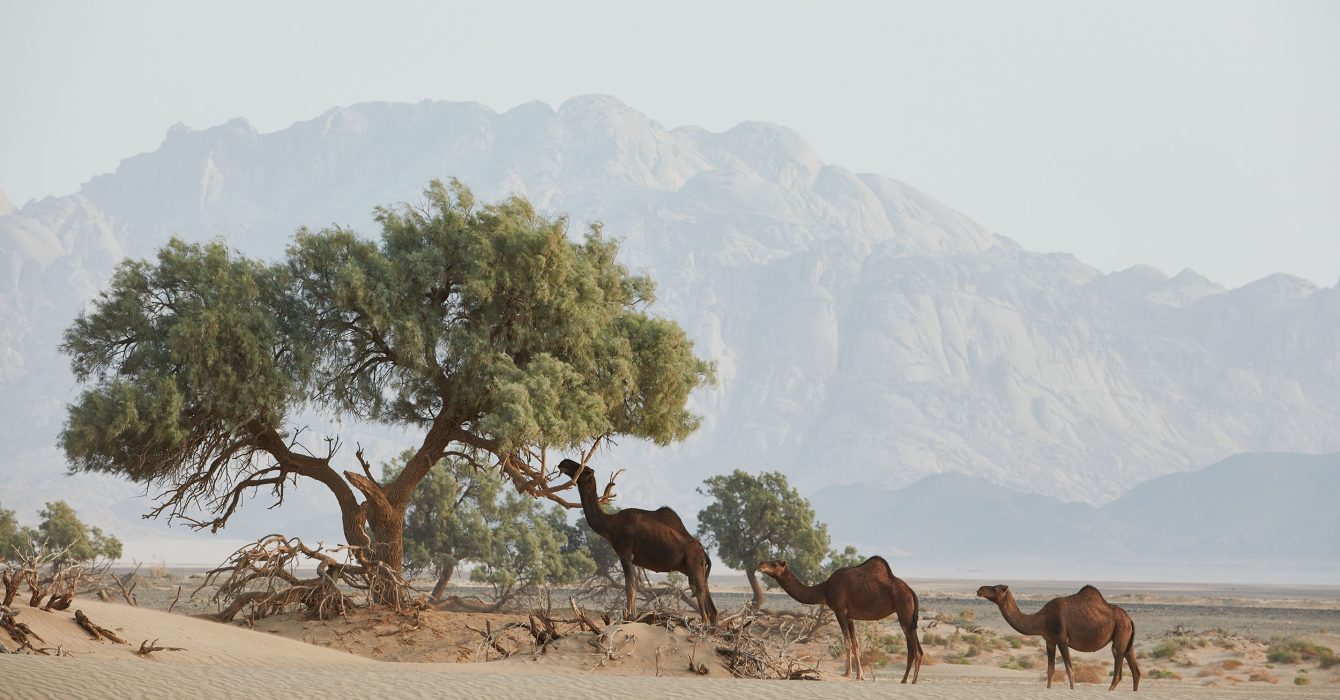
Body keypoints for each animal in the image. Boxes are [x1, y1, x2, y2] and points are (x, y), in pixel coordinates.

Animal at [554, 455, 718, 624]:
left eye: (583, 469)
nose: (563, 462)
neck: (611, 525)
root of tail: (704, 552)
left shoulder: (625, 553)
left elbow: (630, 588)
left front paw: (630, 617)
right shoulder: (630, 557)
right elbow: (632, 586)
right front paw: (631, 616)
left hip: (694, 563)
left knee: (700, 594)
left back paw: (703, 623)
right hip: (697, 568)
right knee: (710, 604)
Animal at [755, 552, 921, 678]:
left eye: (775, 564)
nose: (760, 564)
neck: (825, 589)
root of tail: (911, 592)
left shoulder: (840, 611)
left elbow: (847, 643)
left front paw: (847, 673)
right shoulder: (850, 616)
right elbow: (856, 644)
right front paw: (860, 675)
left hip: (904, 613)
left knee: (914, 650)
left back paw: (907, 681)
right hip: (909, 618)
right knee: (916, 648)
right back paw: (908, 680)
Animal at [975, 579, 1141, 686]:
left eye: (995, 588)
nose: (979, 589)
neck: (1041, 618)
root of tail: (1129, 618)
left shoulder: (1062, 639)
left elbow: (1070, 670)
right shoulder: (1049, 640)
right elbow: (1050, 670)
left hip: (1120, 631)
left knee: (1117, 667)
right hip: (1128, 640)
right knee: (1135, 670)